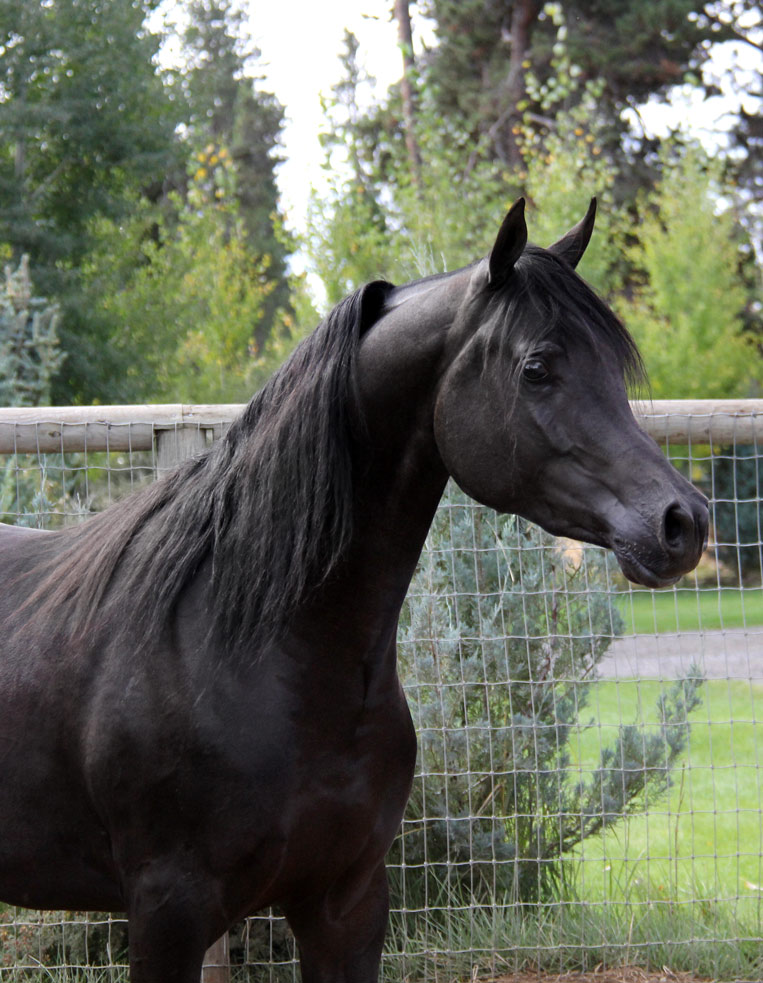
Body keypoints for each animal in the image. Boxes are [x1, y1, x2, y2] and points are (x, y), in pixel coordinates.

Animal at [0, 202, 708, 983]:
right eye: (536, 367)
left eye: (613, 367)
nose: (682, 521)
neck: (245, 643)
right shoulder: (168, 914)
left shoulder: (346, 905)